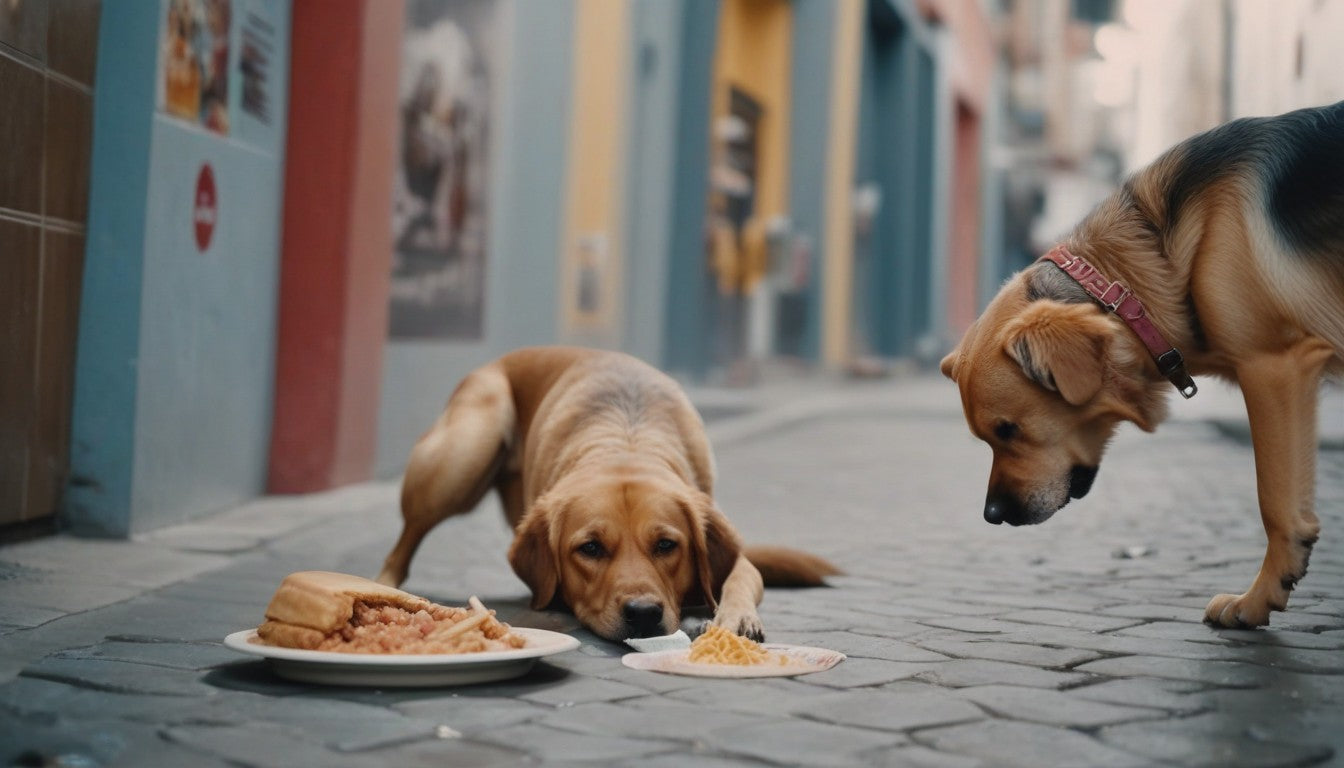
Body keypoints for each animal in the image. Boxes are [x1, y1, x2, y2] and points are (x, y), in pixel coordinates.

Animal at [379, 344, 833, 640]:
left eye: (666, 545)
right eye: (591, 548)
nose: (644, 614)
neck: (626, 438)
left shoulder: (735, 557)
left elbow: (738, 577)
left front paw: (734, 617)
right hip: (465, 451)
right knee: (403, 544)